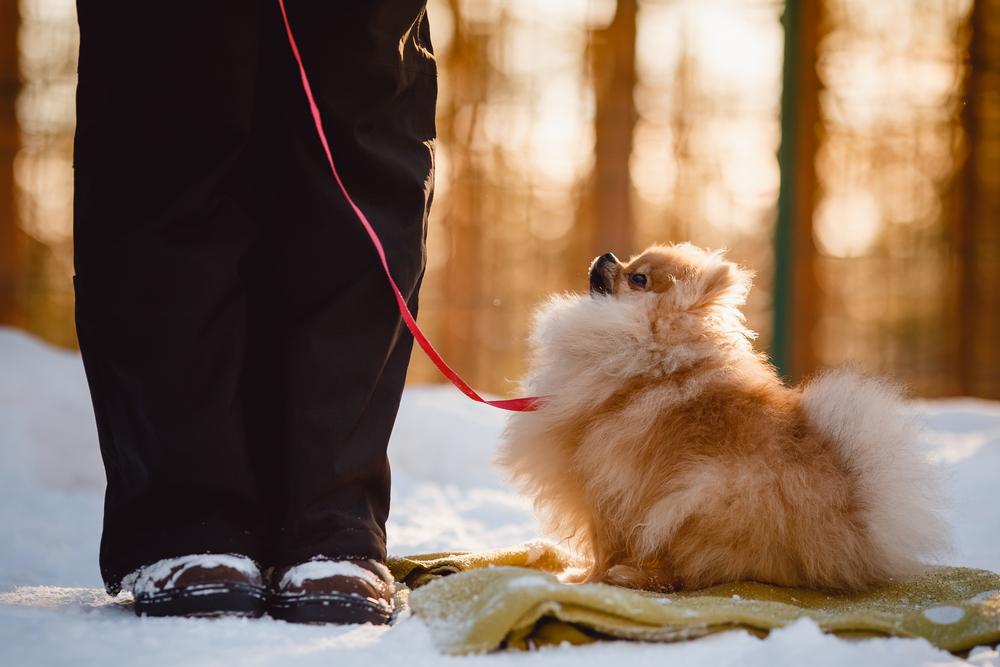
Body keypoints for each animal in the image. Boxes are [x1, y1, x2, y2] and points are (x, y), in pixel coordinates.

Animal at [496, 245, 948, 596]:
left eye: (638, 278)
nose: (607, 254)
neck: (648, 349)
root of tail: (856, 523)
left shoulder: (601, 482)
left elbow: (602, 544)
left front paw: (584, 579)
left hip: (698, 498)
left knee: (684, 576)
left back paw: (631, 576)